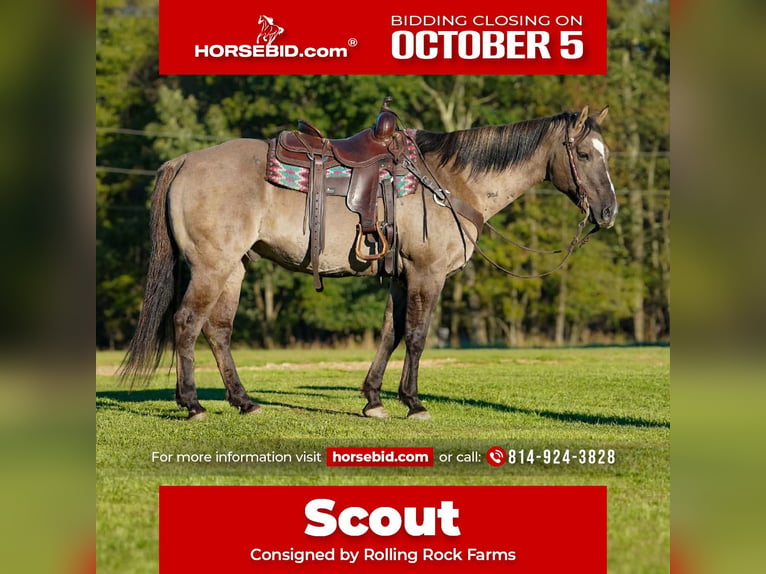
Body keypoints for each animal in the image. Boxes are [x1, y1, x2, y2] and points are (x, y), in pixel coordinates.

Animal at [119, 105, 617, 420]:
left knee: (218, 332)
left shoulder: (399, 276)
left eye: (605, 153)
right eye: (585, 154)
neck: (451, 182)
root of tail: (185, 161)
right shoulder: (427, 273)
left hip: (233, 270)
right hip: (211, 266)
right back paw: (192, 404)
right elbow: (416, 337)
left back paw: (244, 401)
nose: (609, 211)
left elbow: (390, 335)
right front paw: (413, 403)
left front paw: (374, 400)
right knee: (186, 323)